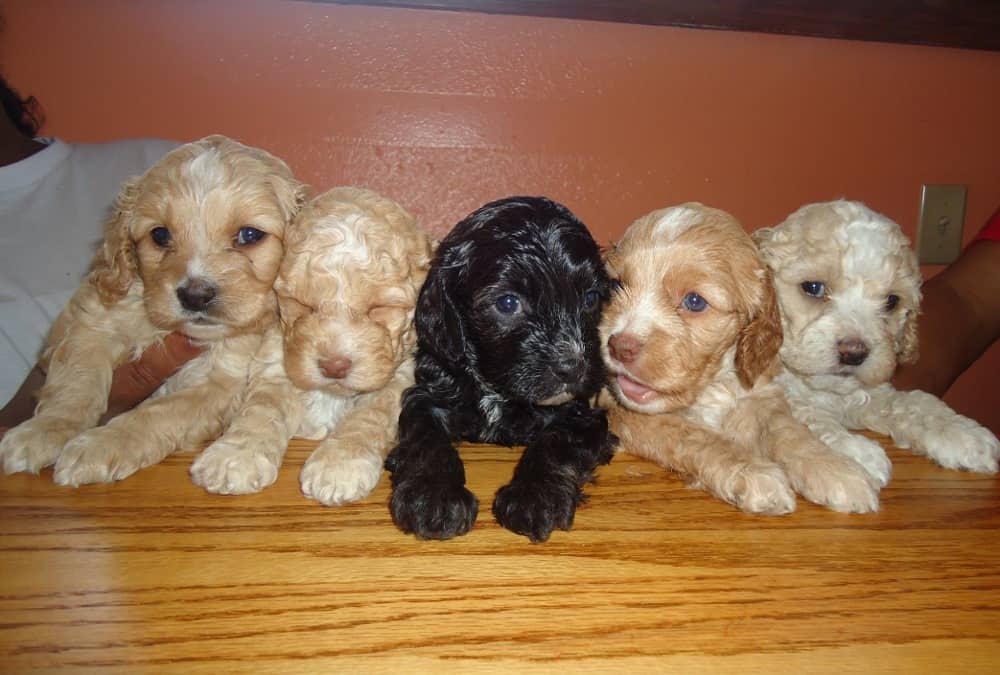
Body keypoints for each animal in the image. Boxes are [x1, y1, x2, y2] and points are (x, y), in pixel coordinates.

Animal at [0, 136, 306, 486]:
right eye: (160, 235)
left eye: (249, 235)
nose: (195, 296)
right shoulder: (94, 322)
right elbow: (75, 383)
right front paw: (43, 430)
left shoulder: (222, 382)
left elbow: (159, 412)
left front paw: (100, 446)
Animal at [191, 187, 434, 504]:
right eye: (303, 306)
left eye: (378, 309)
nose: (334, 366)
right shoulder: (276, 362)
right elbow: (261, 407)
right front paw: (233, 456)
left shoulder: (399, 375)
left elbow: (368, 415)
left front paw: (340, 464)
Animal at [384, 195, 612, 544]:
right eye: (508, 303)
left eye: (590, 298)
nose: (573, 367)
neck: (496, 389)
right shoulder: (430, 391)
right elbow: (426, 437)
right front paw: (433, 497)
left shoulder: (581, 413)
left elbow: (556, 440)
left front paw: (536, 497)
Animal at [600, 203, 876, 516]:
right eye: (616, 286)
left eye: (694, 301)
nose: (620, 346)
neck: (712, 386)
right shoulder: (617, 407)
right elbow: (689, 433)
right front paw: (753, 472)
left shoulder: (760, 393)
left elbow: (788, 429)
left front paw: (837, 469)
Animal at [752, 198, 996, 484]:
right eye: (813, 287)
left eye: (891, 301)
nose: (854, 352)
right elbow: (803, 413)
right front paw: (859, 453)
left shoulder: (868, 392)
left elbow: (911, 403)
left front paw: (963, 434)